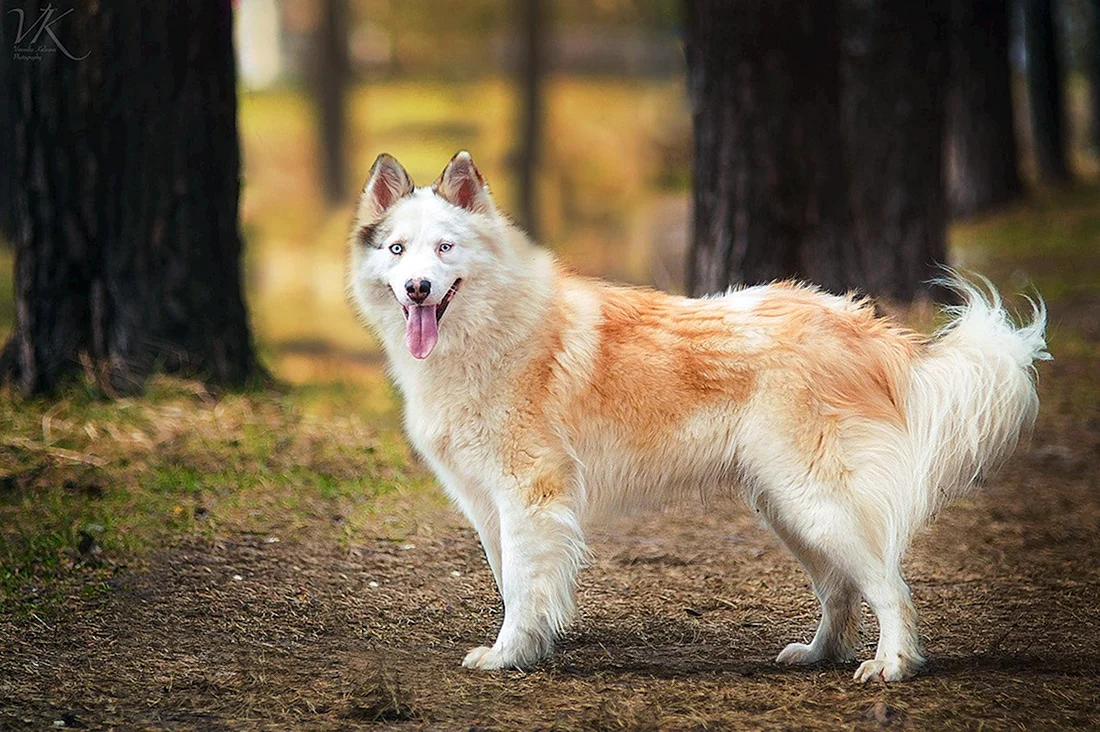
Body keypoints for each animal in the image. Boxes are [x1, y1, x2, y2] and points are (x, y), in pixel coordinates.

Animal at [345, 150, 1047, 682]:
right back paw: (819, 654)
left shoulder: (530, 496)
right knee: (843, 588)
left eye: (445, 248)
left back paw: (892, 666)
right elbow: (515, 579)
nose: (418, 289)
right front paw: (533, 649)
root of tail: (862, 328)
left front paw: (507, 656)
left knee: (889, 586)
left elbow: (521, 586)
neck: (488, 331)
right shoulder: (490, 505)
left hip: (819, 502)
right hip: (789, 510)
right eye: (398, 250)